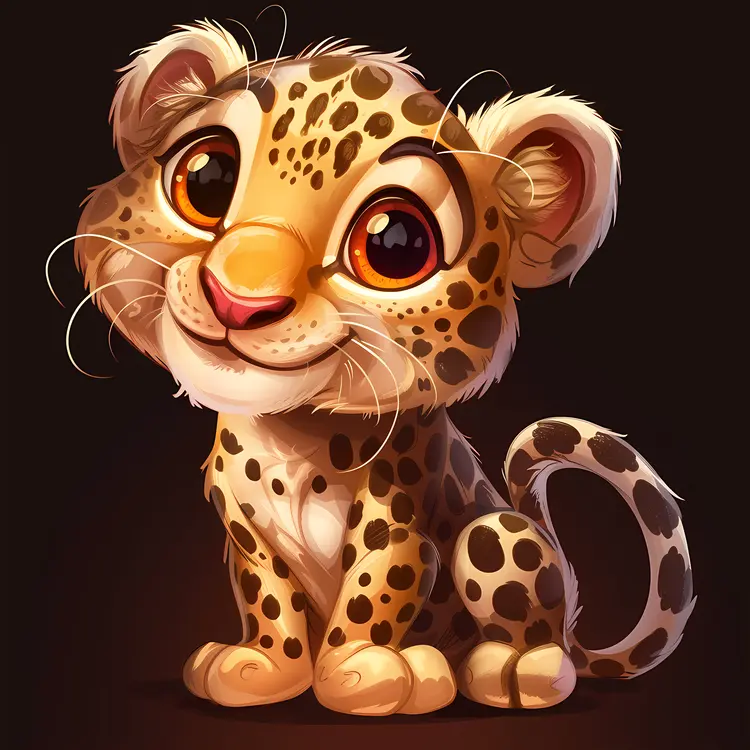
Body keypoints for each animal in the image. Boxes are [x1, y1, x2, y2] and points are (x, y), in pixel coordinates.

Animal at [55, 19, 695, 715]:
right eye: (206, 178)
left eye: (396, 245)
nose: (238, 300)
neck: (290, 439)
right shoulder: (241, 526)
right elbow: (267, 595)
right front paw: (264, 667)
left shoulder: (398, 519)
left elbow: (375, 588)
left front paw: (366, 672)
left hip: (499, 535)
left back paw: (515, 669)